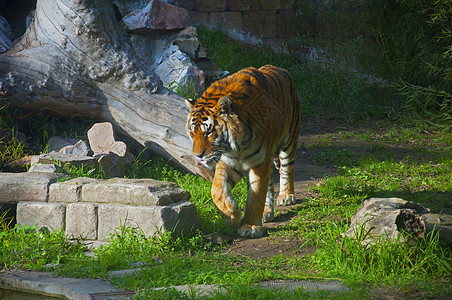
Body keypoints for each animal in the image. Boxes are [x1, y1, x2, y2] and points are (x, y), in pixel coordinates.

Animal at [185, 65, 298, 237]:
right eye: (192, 132)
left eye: (208, 132)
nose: (198, 156)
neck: (236, 146)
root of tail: (281, 69)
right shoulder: (228, 161)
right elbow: (216, 189)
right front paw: (232, 214)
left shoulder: (259, 162)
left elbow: (256, 195)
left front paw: (250, 226)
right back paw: (267, 212)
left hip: (289, 140)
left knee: (287, 169)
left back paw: (286, 196)